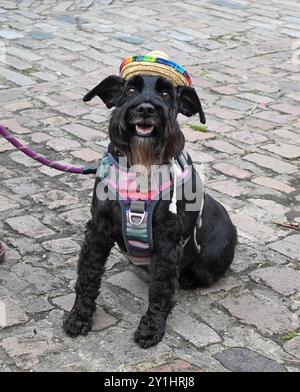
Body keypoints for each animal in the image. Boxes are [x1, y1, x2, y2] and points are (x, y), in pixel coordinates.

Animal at [63, 50, 237, 348]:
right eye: (131, 89)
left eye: (166, 94)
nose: (146, 109)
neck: (140, 169)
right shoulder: (98, 229)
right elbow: (88, 274)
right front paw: (79, 316)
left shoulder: (168, 240)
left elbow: (161, 287)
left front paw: (151, 327)